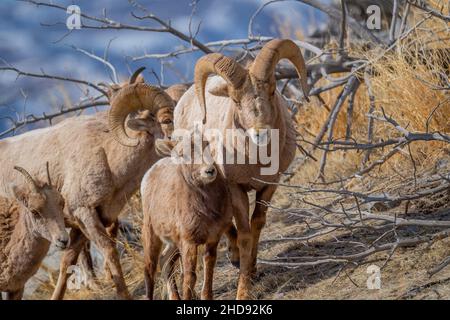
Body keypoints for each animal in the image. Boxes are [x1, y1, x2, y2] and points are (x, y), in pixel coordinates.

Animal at [142, 137, 232, 300]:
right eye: (182, 154)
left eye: (206, 145)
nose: (209, 170)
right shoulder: (189, 243)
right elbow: (190, 277)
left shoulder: (213, 237)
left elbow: (209, 263)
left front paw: (206, 296)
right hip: (151, 234)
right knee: (149, 268)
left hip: (174, 243)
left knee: (165, 261)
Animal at [174, 38, 312, 298]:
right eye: (236, 100)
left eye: (272, 91)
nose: (260, 132)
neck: (257, 160)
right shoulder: (235, 187)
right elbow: (245, 233)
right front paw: (243, 290)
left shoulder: (270, 185)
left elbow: (257, 224)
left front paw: (254, 270)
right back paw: (235, 257)